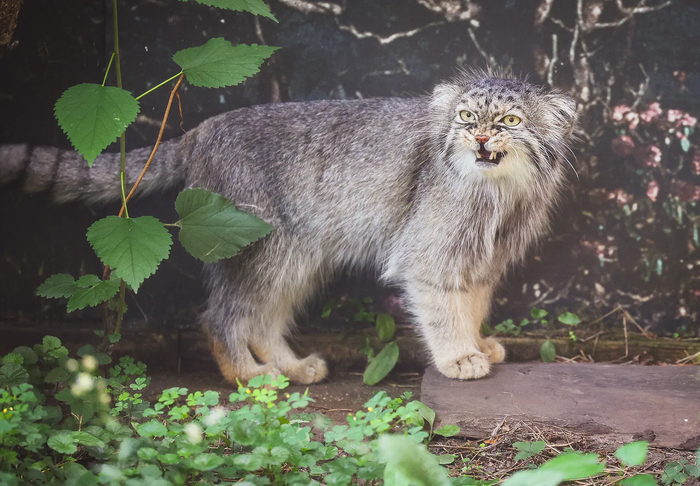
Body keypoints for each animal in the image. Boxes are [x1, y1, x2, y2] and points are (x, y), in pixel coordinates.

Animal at [0, 71, 577, 384]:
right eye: (465, 117)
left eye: (510, 122)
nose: (479, 139)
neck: (500, 192)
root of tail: (202, 129)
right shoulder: (431, 254)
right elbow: (442, 309)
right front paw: (458, 356)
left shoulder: (483, 258)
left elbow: (472, 304)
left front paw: (479, 342)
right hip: (259, 248)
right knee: (223, 316)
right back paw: (249, 375)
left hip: (296, 255)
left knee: (262, 319)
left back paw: (293, 368)